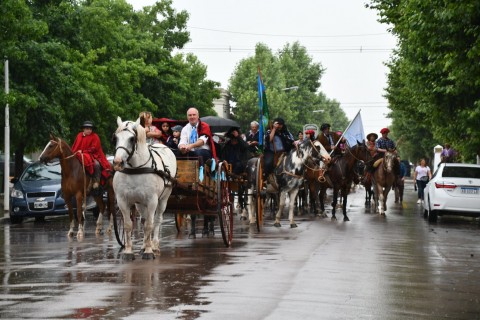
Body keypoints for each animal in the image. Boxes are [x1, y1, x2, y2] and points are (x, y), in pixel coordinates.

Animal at [112, 117, 176, 260]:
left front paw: (149, 251)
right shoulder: (122, 201)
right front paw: (129, 252)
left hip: (163, 198)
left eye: (132, 139)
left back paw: (155, 245)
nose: (118, 162)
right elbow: (129, 225)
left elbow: (149, 225)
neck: (135, 169)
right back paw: (143, 246)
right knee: (144, 219)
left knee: (157, 220)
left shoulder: (152, 200)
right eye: (116, 138)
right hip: (139, 203)